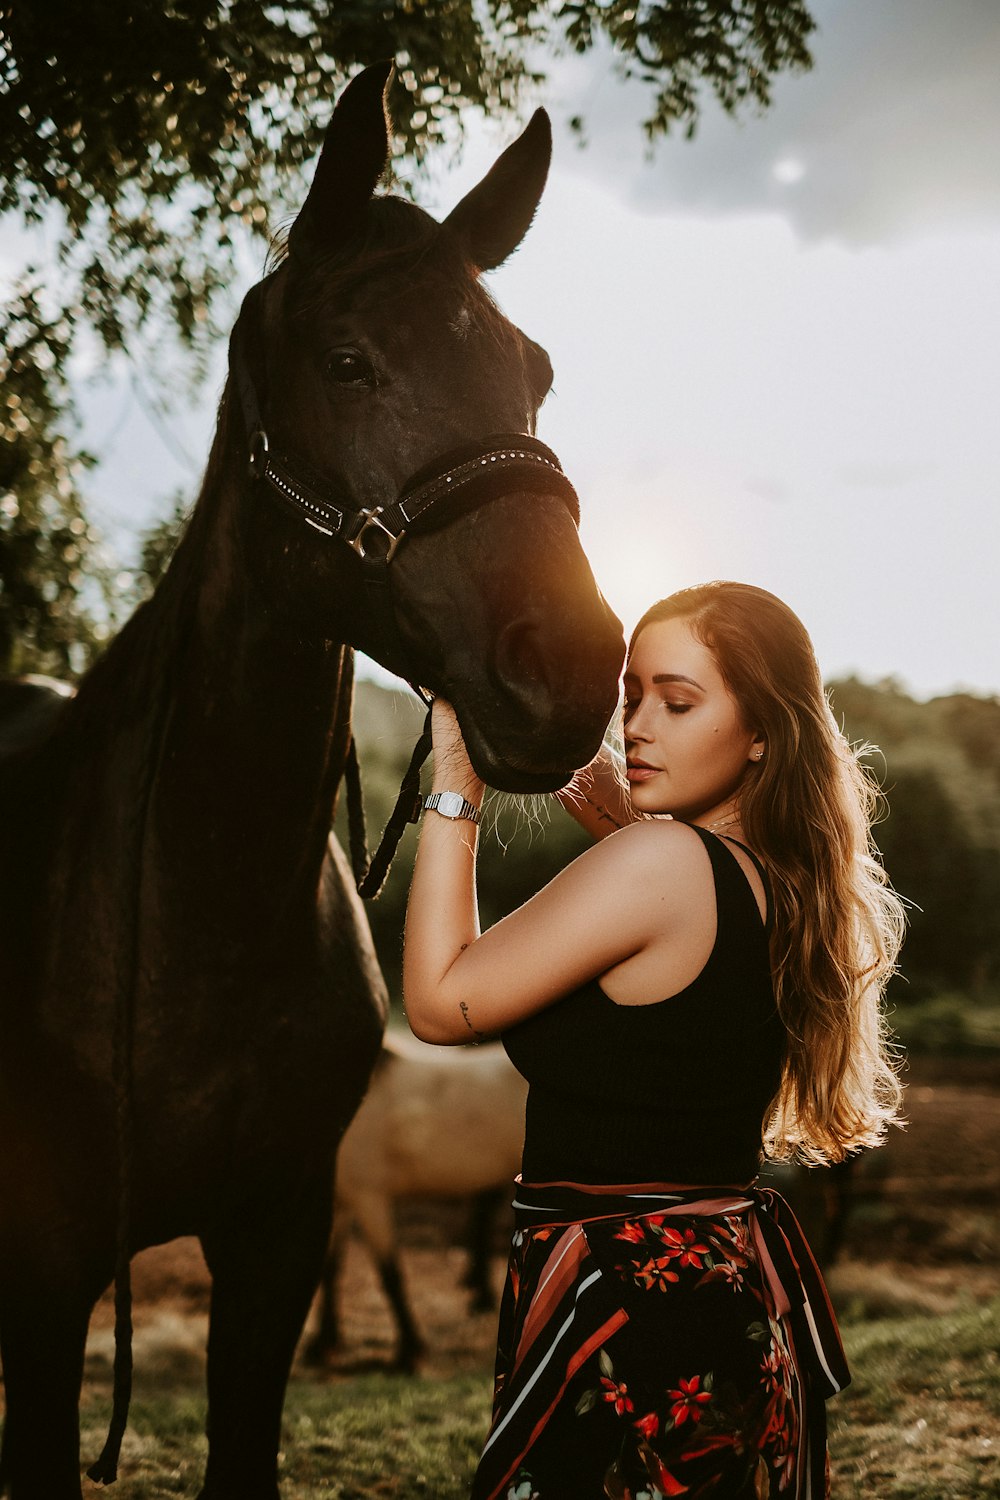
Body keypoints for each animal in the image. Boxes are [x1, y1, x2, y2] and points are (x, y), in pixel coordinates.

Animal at [0, 64, 626, 1500]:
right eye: (347, 362)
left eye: (533, 370)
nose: (572, 666)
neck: (191, 911)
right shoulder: (46, 1282)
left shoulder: (276, 1245)